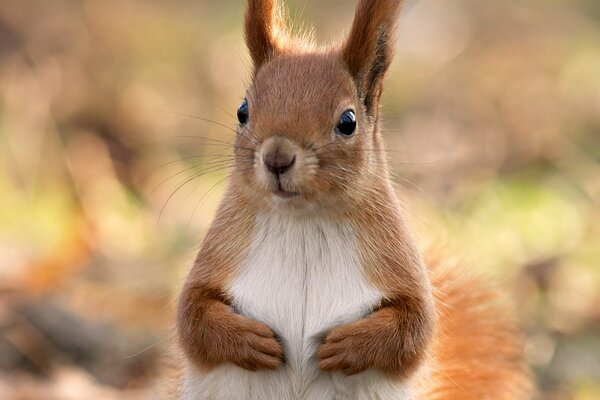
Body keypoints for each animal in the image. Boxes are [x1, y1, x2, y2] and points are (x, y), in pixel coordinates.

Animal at [172, 0, 528, 400]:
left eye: (348, 121)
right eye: (242, 111)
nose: (277, 158)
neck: (303, 221)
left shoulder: (396, 260)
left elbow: (415, 326)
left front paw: (347, 347)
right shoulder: (222, 250)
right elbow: (191, 316)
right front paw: (252, 340)